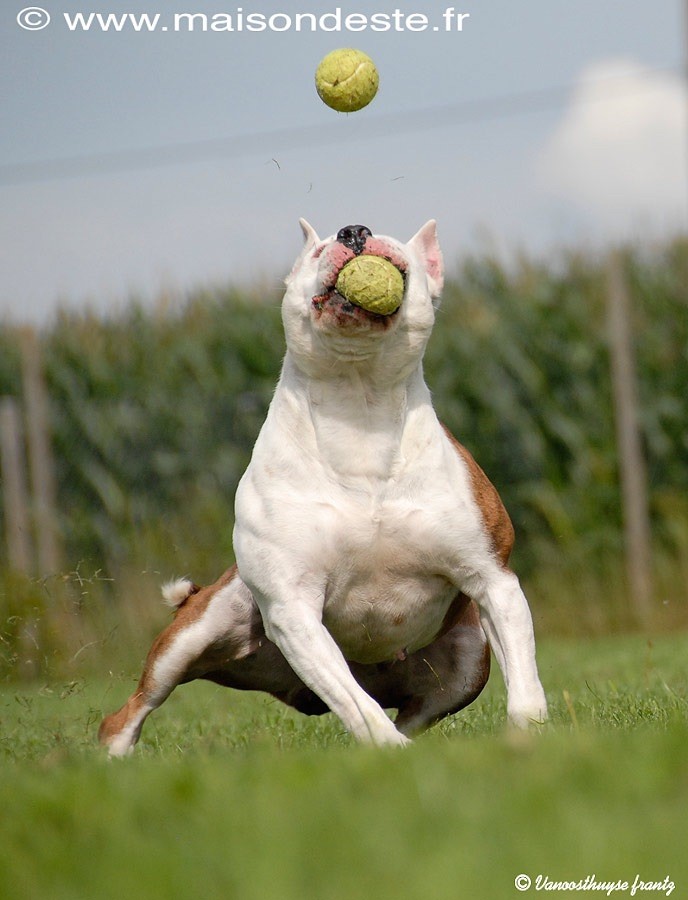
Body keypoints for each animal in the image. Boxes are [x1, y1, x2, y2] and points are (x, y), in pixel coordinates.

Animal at [99, 221, 544, 756]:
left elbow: (524, 681)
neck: (358, 404)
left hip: (467, 659)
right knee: (129, 713)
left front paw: (530, 740)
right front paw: (390, 752)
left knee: (416, 710)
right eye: (318, 250)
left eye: (397, 255)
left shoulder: (493, 578)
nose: (355, 231)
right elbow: (357, 704)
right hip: (194, 635)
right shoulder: (292, 608)